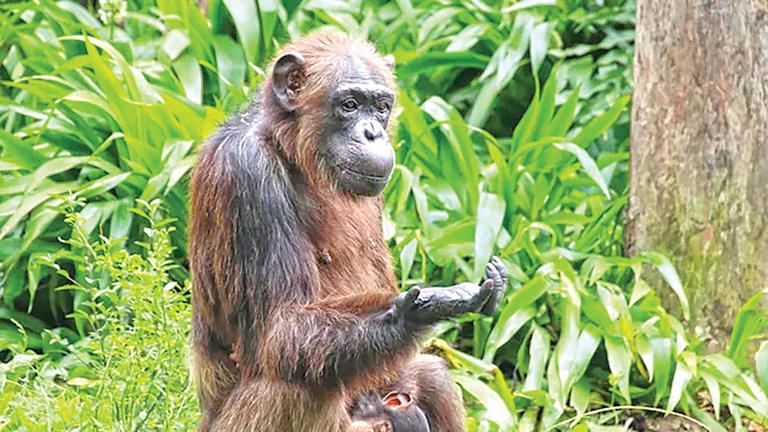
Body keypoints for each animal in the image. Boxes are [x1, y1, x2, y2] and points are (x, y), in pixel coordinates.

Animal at [188, 32, 508, 432]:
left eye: (382, 107)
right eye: (350, 105)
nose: (372, 133)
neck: (290, 148)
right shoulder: (246, 173)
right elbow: (281, 327)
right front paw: (420, 310)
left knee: (431, 376)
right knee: (297, 388)